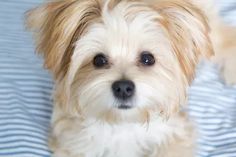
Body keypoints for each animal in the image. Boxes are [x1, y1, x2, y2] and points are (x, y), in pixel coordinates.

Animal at [25, 0, 236, 157]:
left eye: (147, 58)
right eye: (99, 60)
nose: (123, 88)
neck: (122, 124)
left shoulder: (177, 131)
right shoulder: (70, 142)